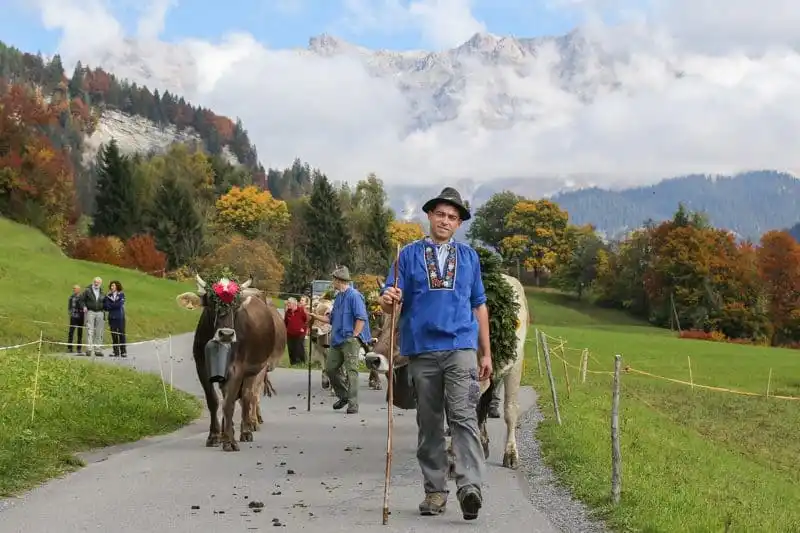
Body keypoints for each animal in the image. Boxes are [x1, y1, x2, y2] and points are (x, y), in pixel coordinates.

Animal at [177, 268, 288, 450]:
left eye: (235, 307)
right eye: (211, 303)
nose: (226, 334)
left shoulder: (237, 368)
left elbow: (229, 403)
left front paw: (229, 440)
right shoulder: (201, 367)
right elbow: (214, 401)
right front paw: (215, 436)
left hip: (256, 369)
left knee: (248, 396)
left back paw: (246, 430)